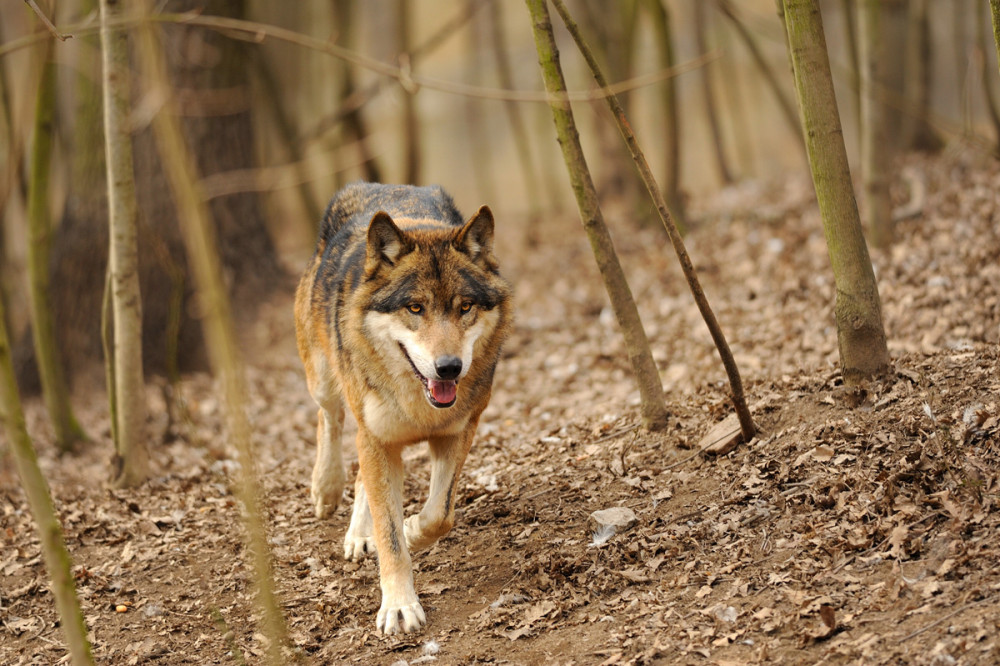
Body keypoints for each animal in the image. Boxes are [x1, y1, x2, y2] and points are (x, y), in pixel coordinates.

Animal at [292, 182, 512, 632]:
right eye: (415, 307)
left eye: (465, 307)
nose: (449, 367)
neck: (420, 406)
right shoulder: (376, 439)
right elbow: (389, 536)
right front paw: (398, 606)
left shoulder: (458, 431)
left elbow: (439, 515)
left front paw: (411, 529)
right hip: (324, 382)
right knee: (330, 420)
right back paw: (326, 489)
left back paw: (360, 534)